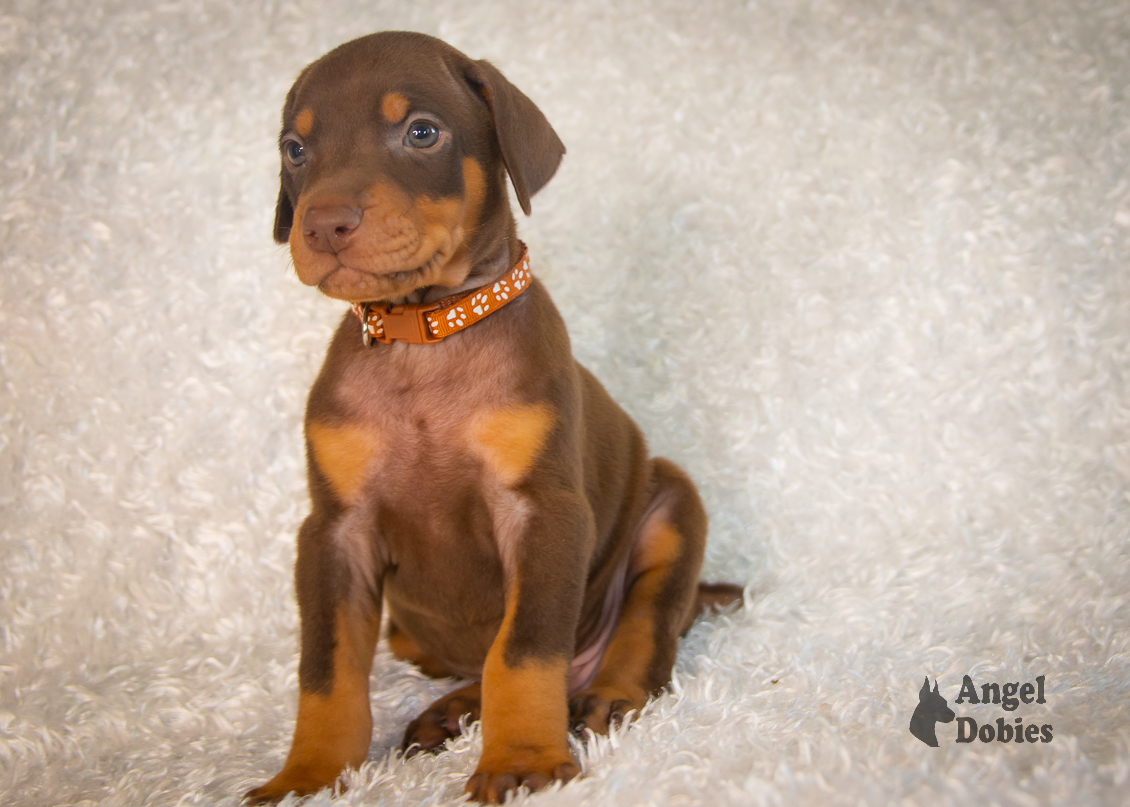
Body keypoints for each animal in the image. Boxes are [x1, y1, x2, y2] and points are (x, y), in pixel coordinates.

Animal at [246, 29, 741, 800]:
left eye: (422, 132)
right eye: (295, 149)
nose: (322, 224)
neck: (427, 336)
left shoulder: (543, 512)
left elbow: (524, 650)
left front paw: (523, 760)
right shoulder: (333, 533)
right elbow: (325, 671)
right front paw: (309, 775)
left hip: (671, 508)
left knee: (645, 627)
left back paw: (610, 696)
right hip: (408, 632)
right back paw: (446, 713)